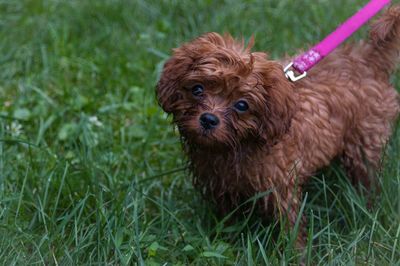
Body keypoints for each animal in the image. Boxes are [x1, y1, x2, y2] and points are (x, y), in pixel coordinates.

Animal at [156, 5, 400, 245]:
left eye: (242, 105)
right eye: (197, 89)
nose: (208, 119)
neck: (236, 146)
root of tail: (367, 59)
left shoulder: (280, 187)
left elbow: (290, 226)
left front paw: (294, 251)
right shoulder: (221, 187)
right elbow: (228, 219)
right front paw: (225, 240)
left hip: (366, 142)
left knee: (367, 178)